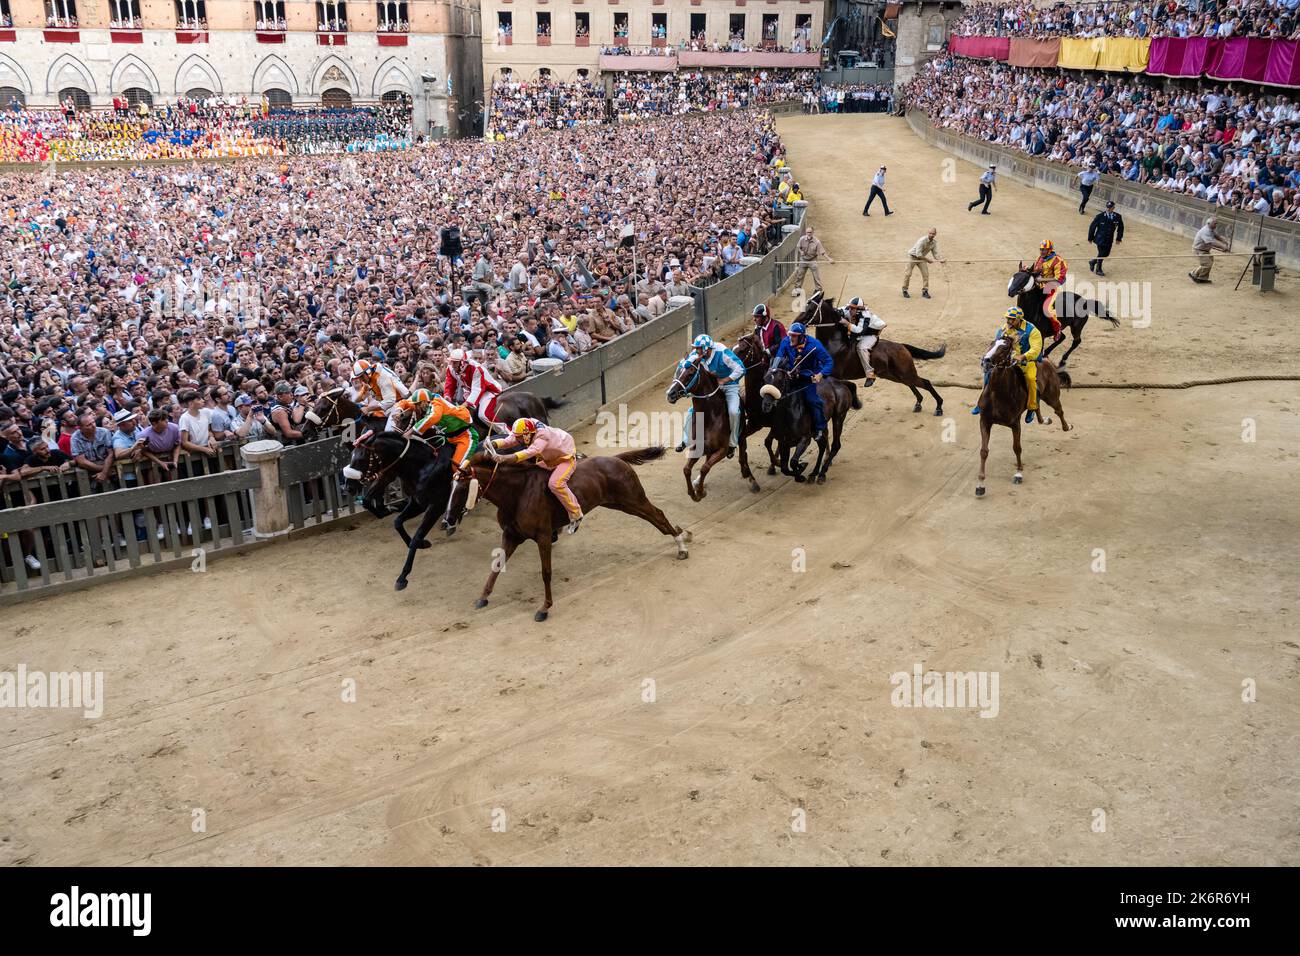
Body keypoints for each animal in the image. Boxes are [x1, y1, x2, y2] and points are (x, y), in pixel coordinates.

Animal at [340, 429, 457, 590]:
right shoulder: (417, 502)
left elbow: (416, 537)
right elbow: (397, 522)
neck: (422, 466)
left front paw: (403, 577)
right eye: (351, 459)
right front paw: (421, 543)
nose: (348, 488)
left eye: (360, 460)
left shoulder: (435, 506)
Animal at [444, 447, 691, 621]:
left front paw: (544, 608)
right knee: (656, 518)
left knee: (658, 516)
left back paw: (681, 545)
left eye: (462, 488)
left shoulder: (543, 535)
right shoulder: (512, 535)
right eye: (450, 488)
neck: (517, 494)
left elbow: (546, 572)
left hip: (632, 499)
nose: (447, 519)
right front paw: (483, 597)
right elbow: (496, 566)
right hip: (619, 503)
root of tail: (616, 459)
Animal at [665, 353, 759, 502]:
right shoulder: (697, 448)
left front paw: (700, 492)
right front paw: (693, 492)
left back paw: (751, 479)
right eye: (677, 371)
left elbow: (704, 468)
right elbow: (687, 469)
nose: (670, 394)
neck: (709, 418)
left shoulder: (722, 450)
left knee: (742, 456)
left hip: (741, 435)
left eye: (690, 373)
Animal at [795, 295, 951, 416]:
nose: (796, 322)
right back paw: (918, 403)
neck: (834, 344)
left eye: (810, 309)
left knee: (926, 382)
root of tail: (902, 346)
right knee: (912, 384)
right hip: (893, 375)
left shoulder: (835, 376)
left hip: (905, 372)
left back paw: (939, 407)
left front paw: (856, 403)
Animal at [977, 338, 1071, 502]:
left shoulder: (1015, 424)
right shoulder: (985, 421)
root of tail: (1047, 361)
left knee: (1058, 410)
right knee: (1037, 406)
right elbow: (984, 451)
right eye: (991, 344)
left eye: (1004, 348)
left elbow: (1017, 448)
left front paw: (1018, 473)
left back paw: (1067, 427)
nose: (986, 361)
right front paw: (981, 485)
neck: (998, 394)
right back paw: (1045, 420)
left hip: (1051, 395)